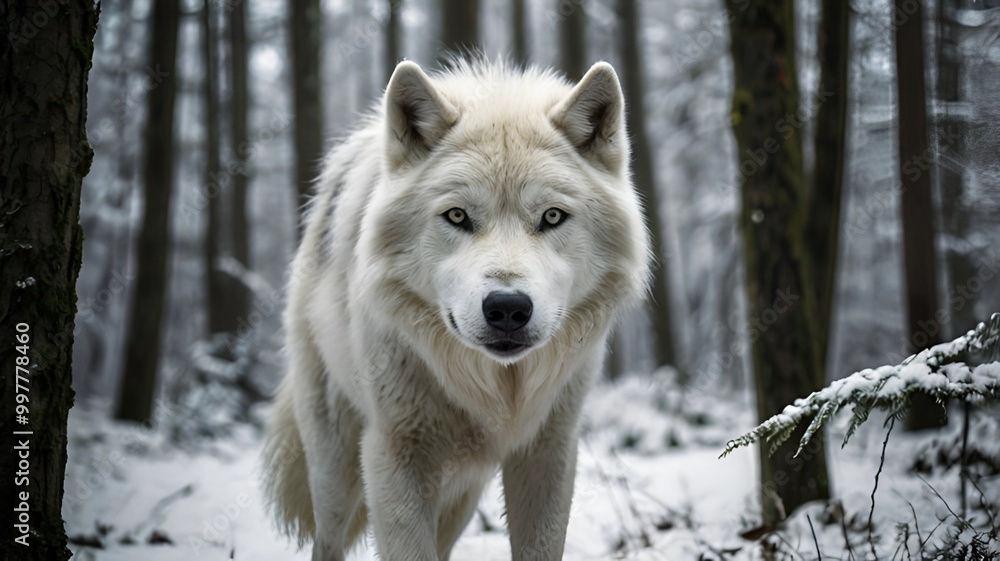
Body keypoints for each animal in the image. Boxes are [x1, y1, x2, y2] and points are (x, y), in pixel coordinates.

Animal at [261, 59, 651, 560]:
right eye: (458, 216)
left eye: (551, 217)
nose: (507, 308)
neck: (493, 386)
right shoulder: (394, 454)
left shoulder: (549, 449)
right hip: (336, 470)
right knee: (327, 539)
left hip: (464, 488)